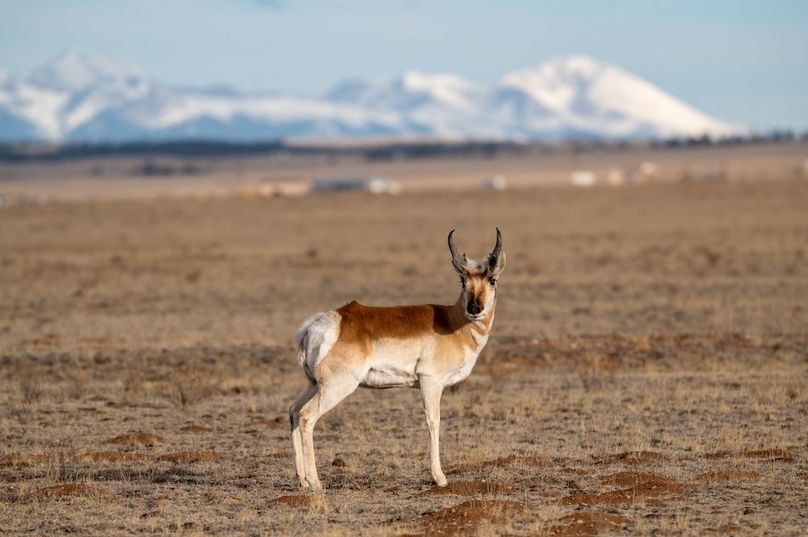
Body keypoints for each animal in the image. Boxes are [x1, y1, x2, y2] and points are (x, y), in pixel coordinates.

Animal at [289, 229, 505, 490]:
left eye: (492, 279)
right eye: (463, 280)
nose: (474, 308)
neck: (452, 322)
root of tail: (321, 323)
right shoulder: (430, 381)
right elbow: (433, 421)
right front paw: (440, 477)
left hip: (314, 385)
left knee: (293, 411)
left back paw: (302, 480)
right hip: (336, 387)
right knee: (306, 417)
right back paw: (316, 482)